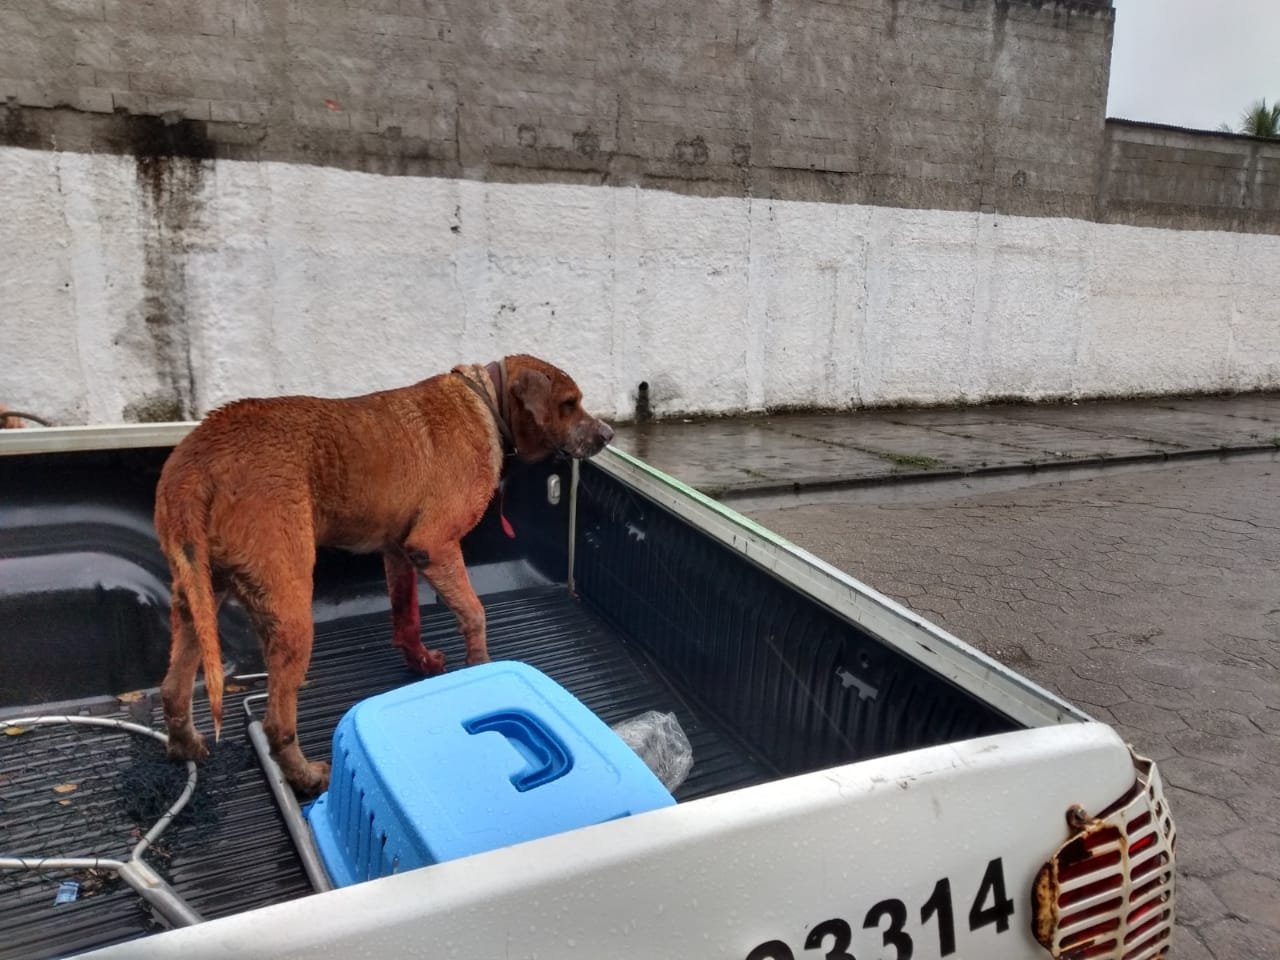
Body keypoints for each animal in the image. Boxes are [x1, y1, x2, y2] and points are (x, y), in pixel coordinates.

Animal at [154, 358, 614, 793]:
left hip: (198, 596)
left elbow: (406, 618)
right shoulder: (435, 545)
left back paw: (186, 746)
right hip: (289, 612)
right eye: (569, 404)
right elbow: (475, 614)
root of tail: (195, 462)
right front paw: (479, 670)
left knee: (173, 689)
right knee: (276, 725)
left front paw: (423, 662)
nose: (608, 435)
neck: (485, 401)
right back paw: (305, 776)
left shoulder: (399, 551)